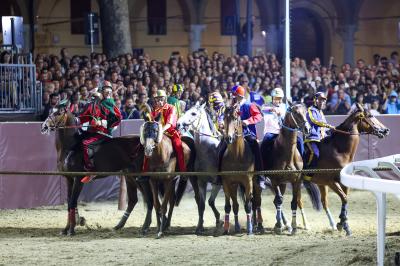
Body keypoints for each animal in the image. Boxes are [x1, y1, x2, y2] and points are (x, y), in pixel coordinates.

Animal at [40, 105, 153, 236]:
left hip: (141, 176)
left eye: (58, 113)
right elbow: (69, 203)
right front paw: (66, 229)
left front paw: (72, 230)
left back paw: (145, 227)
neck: (71, 147)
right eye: (50, 111)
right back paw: (119, 225)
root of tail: (143, 144)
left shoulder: (78, 179)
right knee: (134, 200)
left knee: (149, 198)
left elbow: (73, 201)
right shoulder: (69, 179)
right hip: (130, 176)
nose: (44, 127)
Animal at [260, 103, 320, 234]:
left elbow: (293, 203)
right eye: (296, 113)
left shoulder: (296, 181)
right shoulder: (275, 180)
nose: (307, 128)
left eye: (305, 112)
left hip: (282, 184)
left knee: (294, 200)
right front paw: (279, 226)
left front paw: (293, 227)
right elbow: (279, 200)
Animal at [306, 103, 388, 236]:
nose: (386, 130)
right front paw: (342, 223)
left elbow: (345, 199)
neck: (339, 150)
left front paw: (343, 224)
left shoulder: (343, 181)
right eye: (370, 115)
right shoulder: (331, 181)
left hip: (319, 184)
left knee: (323, 202)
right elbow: (344, 198)